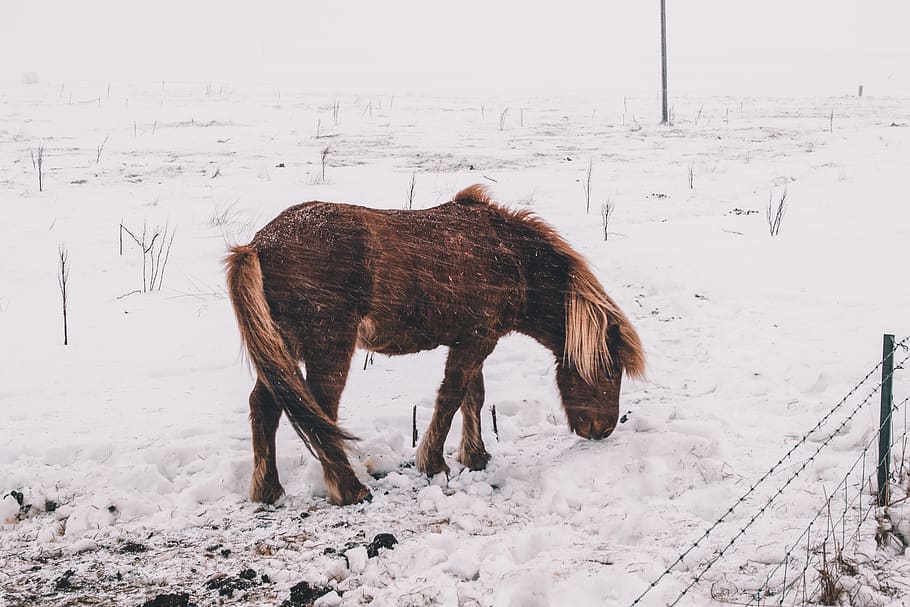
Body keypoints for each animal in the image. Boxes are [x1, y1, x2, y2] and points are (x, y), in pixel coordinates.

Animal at [226, 185, 644, 506]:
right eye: (610, 370)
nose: (602, 430)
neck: (510, 257)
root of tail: (258, 246)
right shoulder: (476, 340)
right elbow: (452, 396)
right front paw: (435, 463)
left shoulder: (474, 338)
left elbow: (473, 396)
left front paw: (475, 456)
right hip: (329, 347)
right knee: (321, 413)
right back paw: (349, 489)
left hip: (283, 349)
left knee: (265, 407)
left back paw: (268, 490)